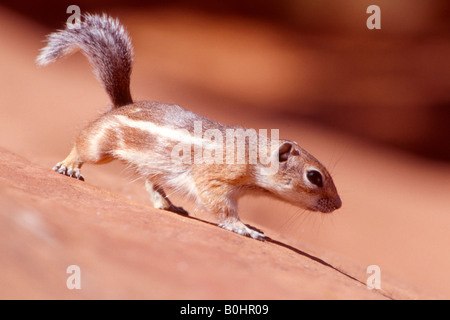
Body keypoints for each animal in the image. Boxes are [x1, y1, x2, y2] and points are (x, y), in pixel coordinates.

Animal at [37, 15, 342, 240]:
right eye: (314, 177)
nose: (338, 205)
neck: (253, 157)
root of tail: (121, 106)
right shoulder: (215, 178)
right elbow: (220, 206)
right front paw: (244, 228)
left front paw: (250, 225)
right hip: (101, 147)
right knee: (82, 146)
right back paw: (69, 166)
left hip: (155, 167)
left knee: (152, 185)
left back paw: (169, 205)